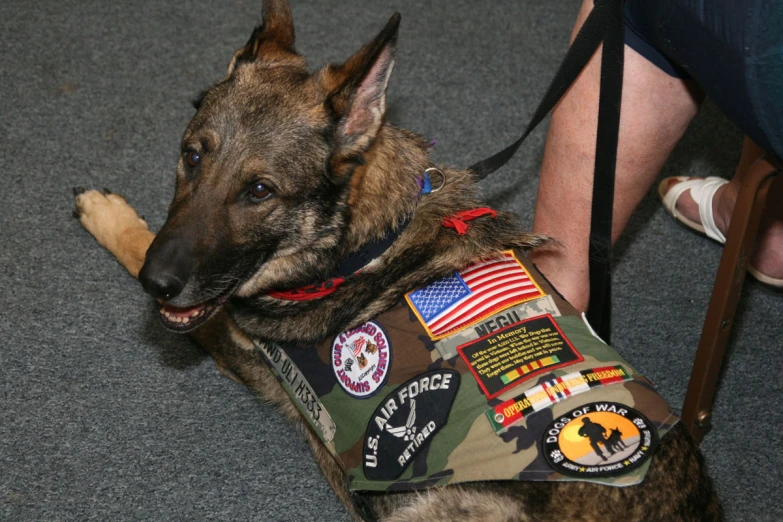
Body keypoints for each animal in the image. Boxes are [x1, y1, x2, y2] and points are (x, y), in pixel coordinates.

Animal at [72, 2, 724, 516]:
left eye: (259, 191)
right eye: (191, 156)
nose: (158, 284)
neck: (360, 246)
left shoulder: (231, 336)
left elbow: (141, 246)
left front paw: (108, 215)